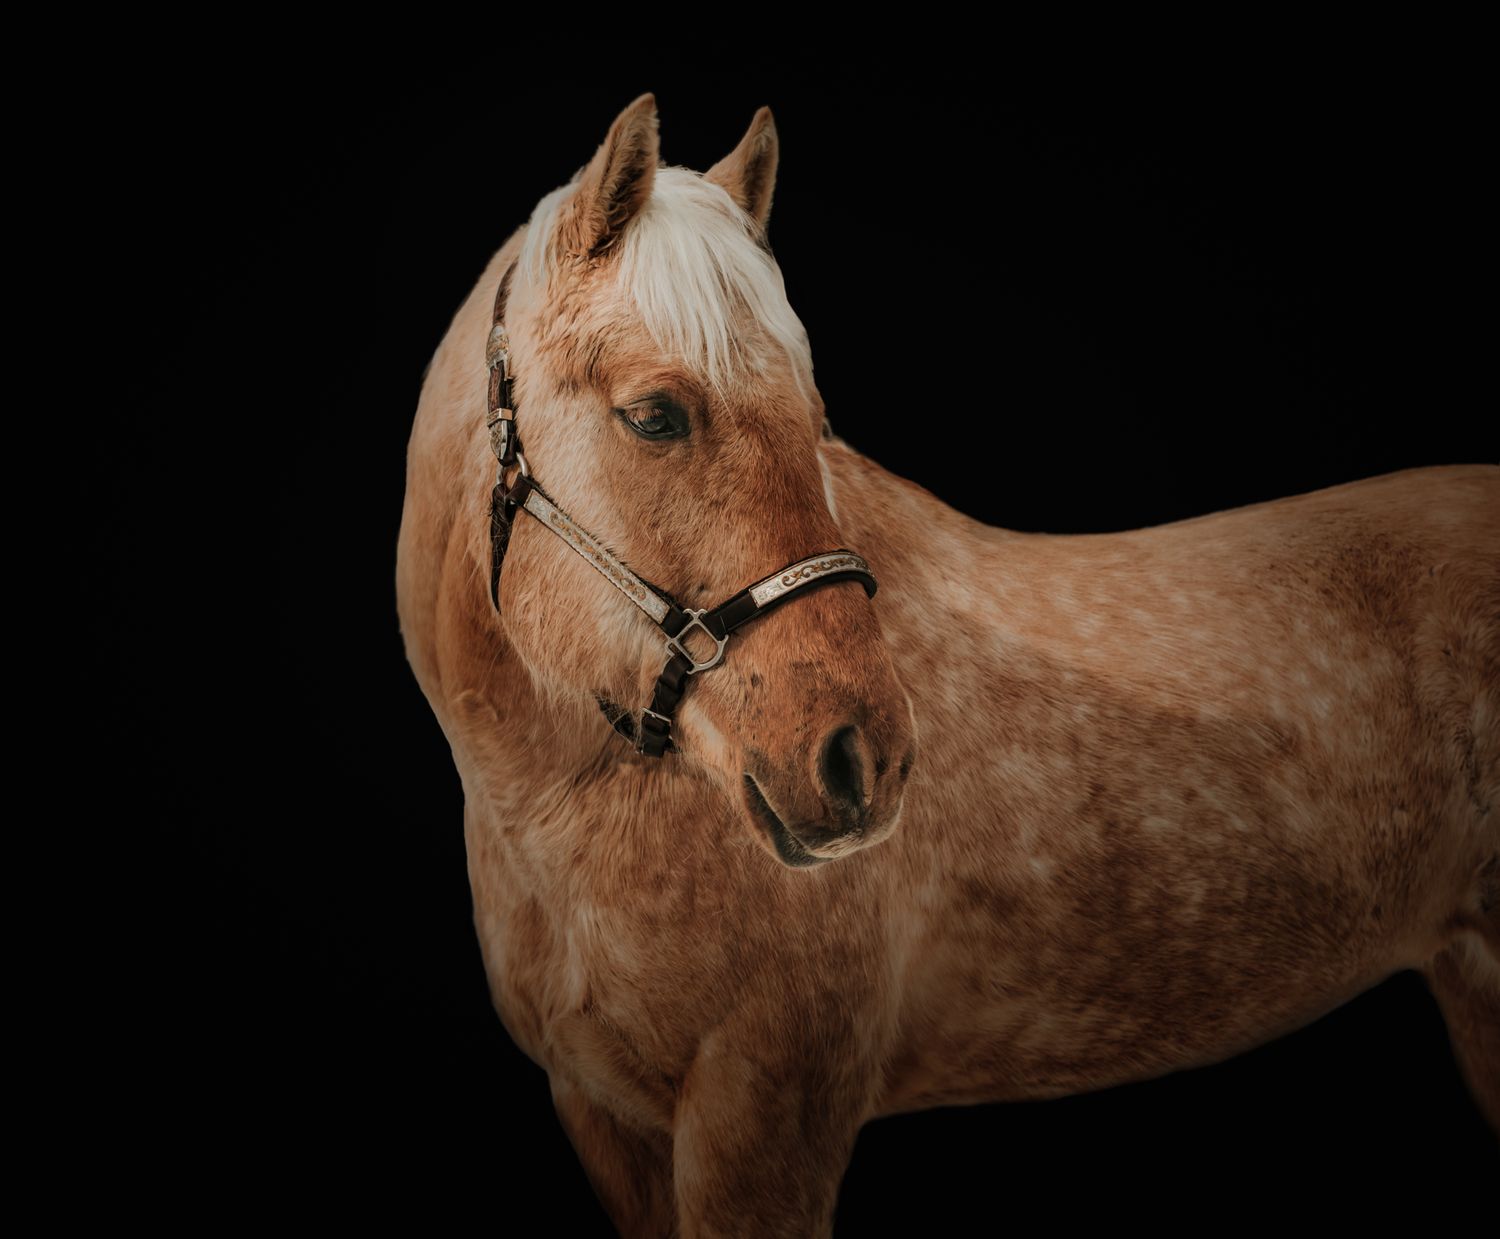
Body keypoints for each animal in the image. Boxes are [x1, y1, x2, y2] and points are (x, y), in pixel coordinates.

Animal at [395, 92, 1499, 1236]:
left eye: (815, 421)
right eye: (655, 415)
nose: (862, 757)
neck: (569, 817)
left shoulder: (764, 1125)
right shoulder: (607, 1118)